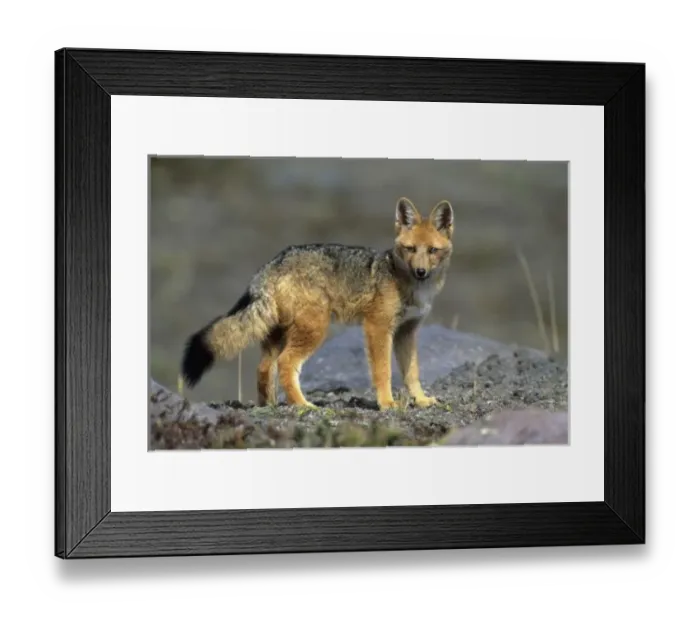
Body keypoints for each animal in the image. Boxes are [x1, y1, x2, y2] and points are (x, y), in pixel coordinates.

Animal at [179, 197, 454, 411]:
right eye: (410, 249)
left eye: (432, 251)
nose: (420, 272)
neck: (413, 287)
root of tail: (273, 262)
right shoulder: (377, 327)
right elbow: (383, 371)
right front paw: (387, 403)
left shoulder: (407, 331)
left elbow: (412, 372)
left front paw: (421, 400)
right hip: (315, 329)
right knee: (286, 364)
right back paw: (302, 405)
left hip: (279, 334)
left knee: (264, 368)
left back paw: (270, 405)